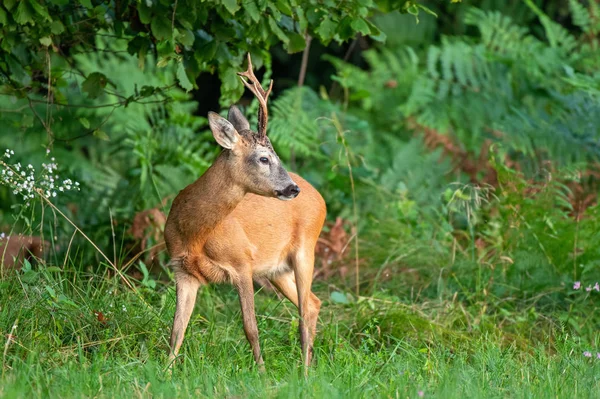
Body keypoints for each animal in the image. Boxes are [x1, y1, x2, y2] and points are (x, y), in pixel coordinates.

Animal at [165, 53, 328, 372]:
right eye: (264, 158)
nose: (291, 188)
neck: (195, 232)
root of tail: (319, 196)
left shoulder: (242, 263)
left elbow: (250, 327)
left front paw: (262, 373)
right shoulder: (183, 270)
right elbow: (177, 329)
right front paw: (164, 372)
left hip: (306, 247)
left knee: (305, 311)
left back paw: (304, 372)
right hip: (277, 268)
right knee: (313, 304)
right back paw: (307, 367)